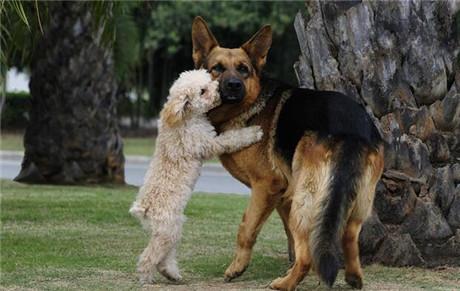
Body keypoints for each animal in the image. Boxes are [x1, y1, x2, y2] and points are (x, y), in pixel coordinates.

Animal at [129, 69, 262, 284]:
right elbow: (231, 138)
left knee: (164, 258)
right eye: (202, 91)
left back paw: (172, 274)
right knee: (149, 257)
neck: (186, 117)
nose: (219, 89)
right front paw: (254, 132)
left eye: (207, 80)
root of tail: (144, 209)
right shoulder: (209, 143)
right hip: (168, 231)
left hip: (171, 231)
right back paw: (146, 278)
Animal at [192, 17, 386, 290]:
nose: (234, 86)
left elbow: (246, 229)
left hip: (306, 202)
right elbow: (291, 240)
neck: (248, 106)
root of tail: (352, 128)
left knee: (306, 256)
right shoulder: (285, 196)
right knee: (348, 235)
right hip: (355, 202)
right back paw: (352, 277)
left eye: (243, 69)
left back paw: (284, 284)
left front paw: (236, 268)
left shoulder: (266, 187)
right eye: (216, 68)